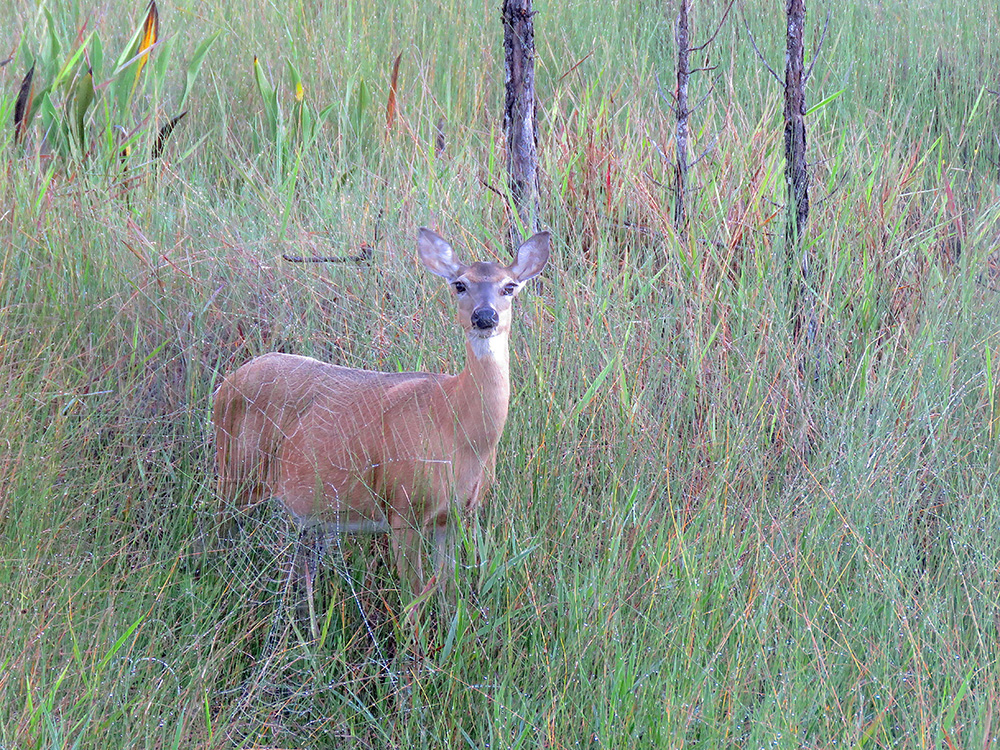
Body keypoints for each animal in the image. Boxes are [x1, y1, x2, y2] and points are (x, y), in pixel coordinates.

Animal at [214, 226, 552, 604]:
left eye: (509, 286)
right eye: (459, 284)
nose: (484, 316)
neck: (460, 432)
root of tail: (227, 382)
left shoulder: (456, 515)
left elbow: (449, 592)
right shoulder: (404, 507)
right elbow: (413, 598)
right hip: (234, 469)